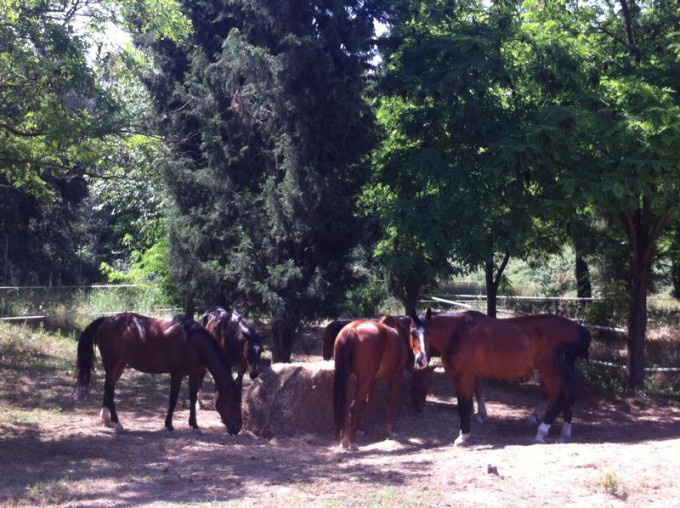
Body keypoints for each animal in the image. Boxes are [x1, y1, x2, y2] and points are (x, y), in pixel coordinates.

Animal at [71, 312, 240, 434]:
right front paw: (169, 425)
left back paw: (108, 421)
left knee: (108, 388)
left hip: (119, 366)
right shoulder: (177, 374)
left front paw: (195, 425)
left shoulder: (194, 374)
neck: (192, 341)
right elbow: (173, 399)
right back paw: (118, 424)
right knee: (110, 391)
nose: (236, 429)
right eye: (233, 403)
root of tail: (106, 320)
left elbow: (192, 399)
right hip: (112, 365)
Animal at [410, 306, 588, 444]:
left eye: (429, 332)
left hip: (549, 371)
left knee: (559, 397)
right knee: (569, 397)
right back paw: (564, 434)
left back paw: (541, 433)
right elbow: (461, 405)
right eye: (412, 332)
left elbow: (466, 405)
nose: (421, 360)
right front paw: (462, 433)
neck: (458, 334)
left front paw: (464, 436)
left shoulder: (466, 376)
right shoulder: (455, 378)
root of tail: (576, 327)